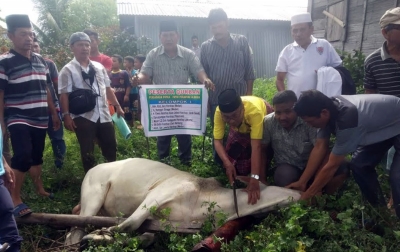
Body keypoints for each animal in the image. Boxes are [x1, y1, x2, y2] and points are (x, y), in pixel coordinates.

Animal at [65, 159, 298, 244]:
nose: (299, 194)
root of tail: (93, 168)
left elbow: (144, 236)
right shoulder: (158, 194)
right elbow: (130, 223)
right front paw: (101, 234)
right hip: (94, 194)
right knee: (76, 228)